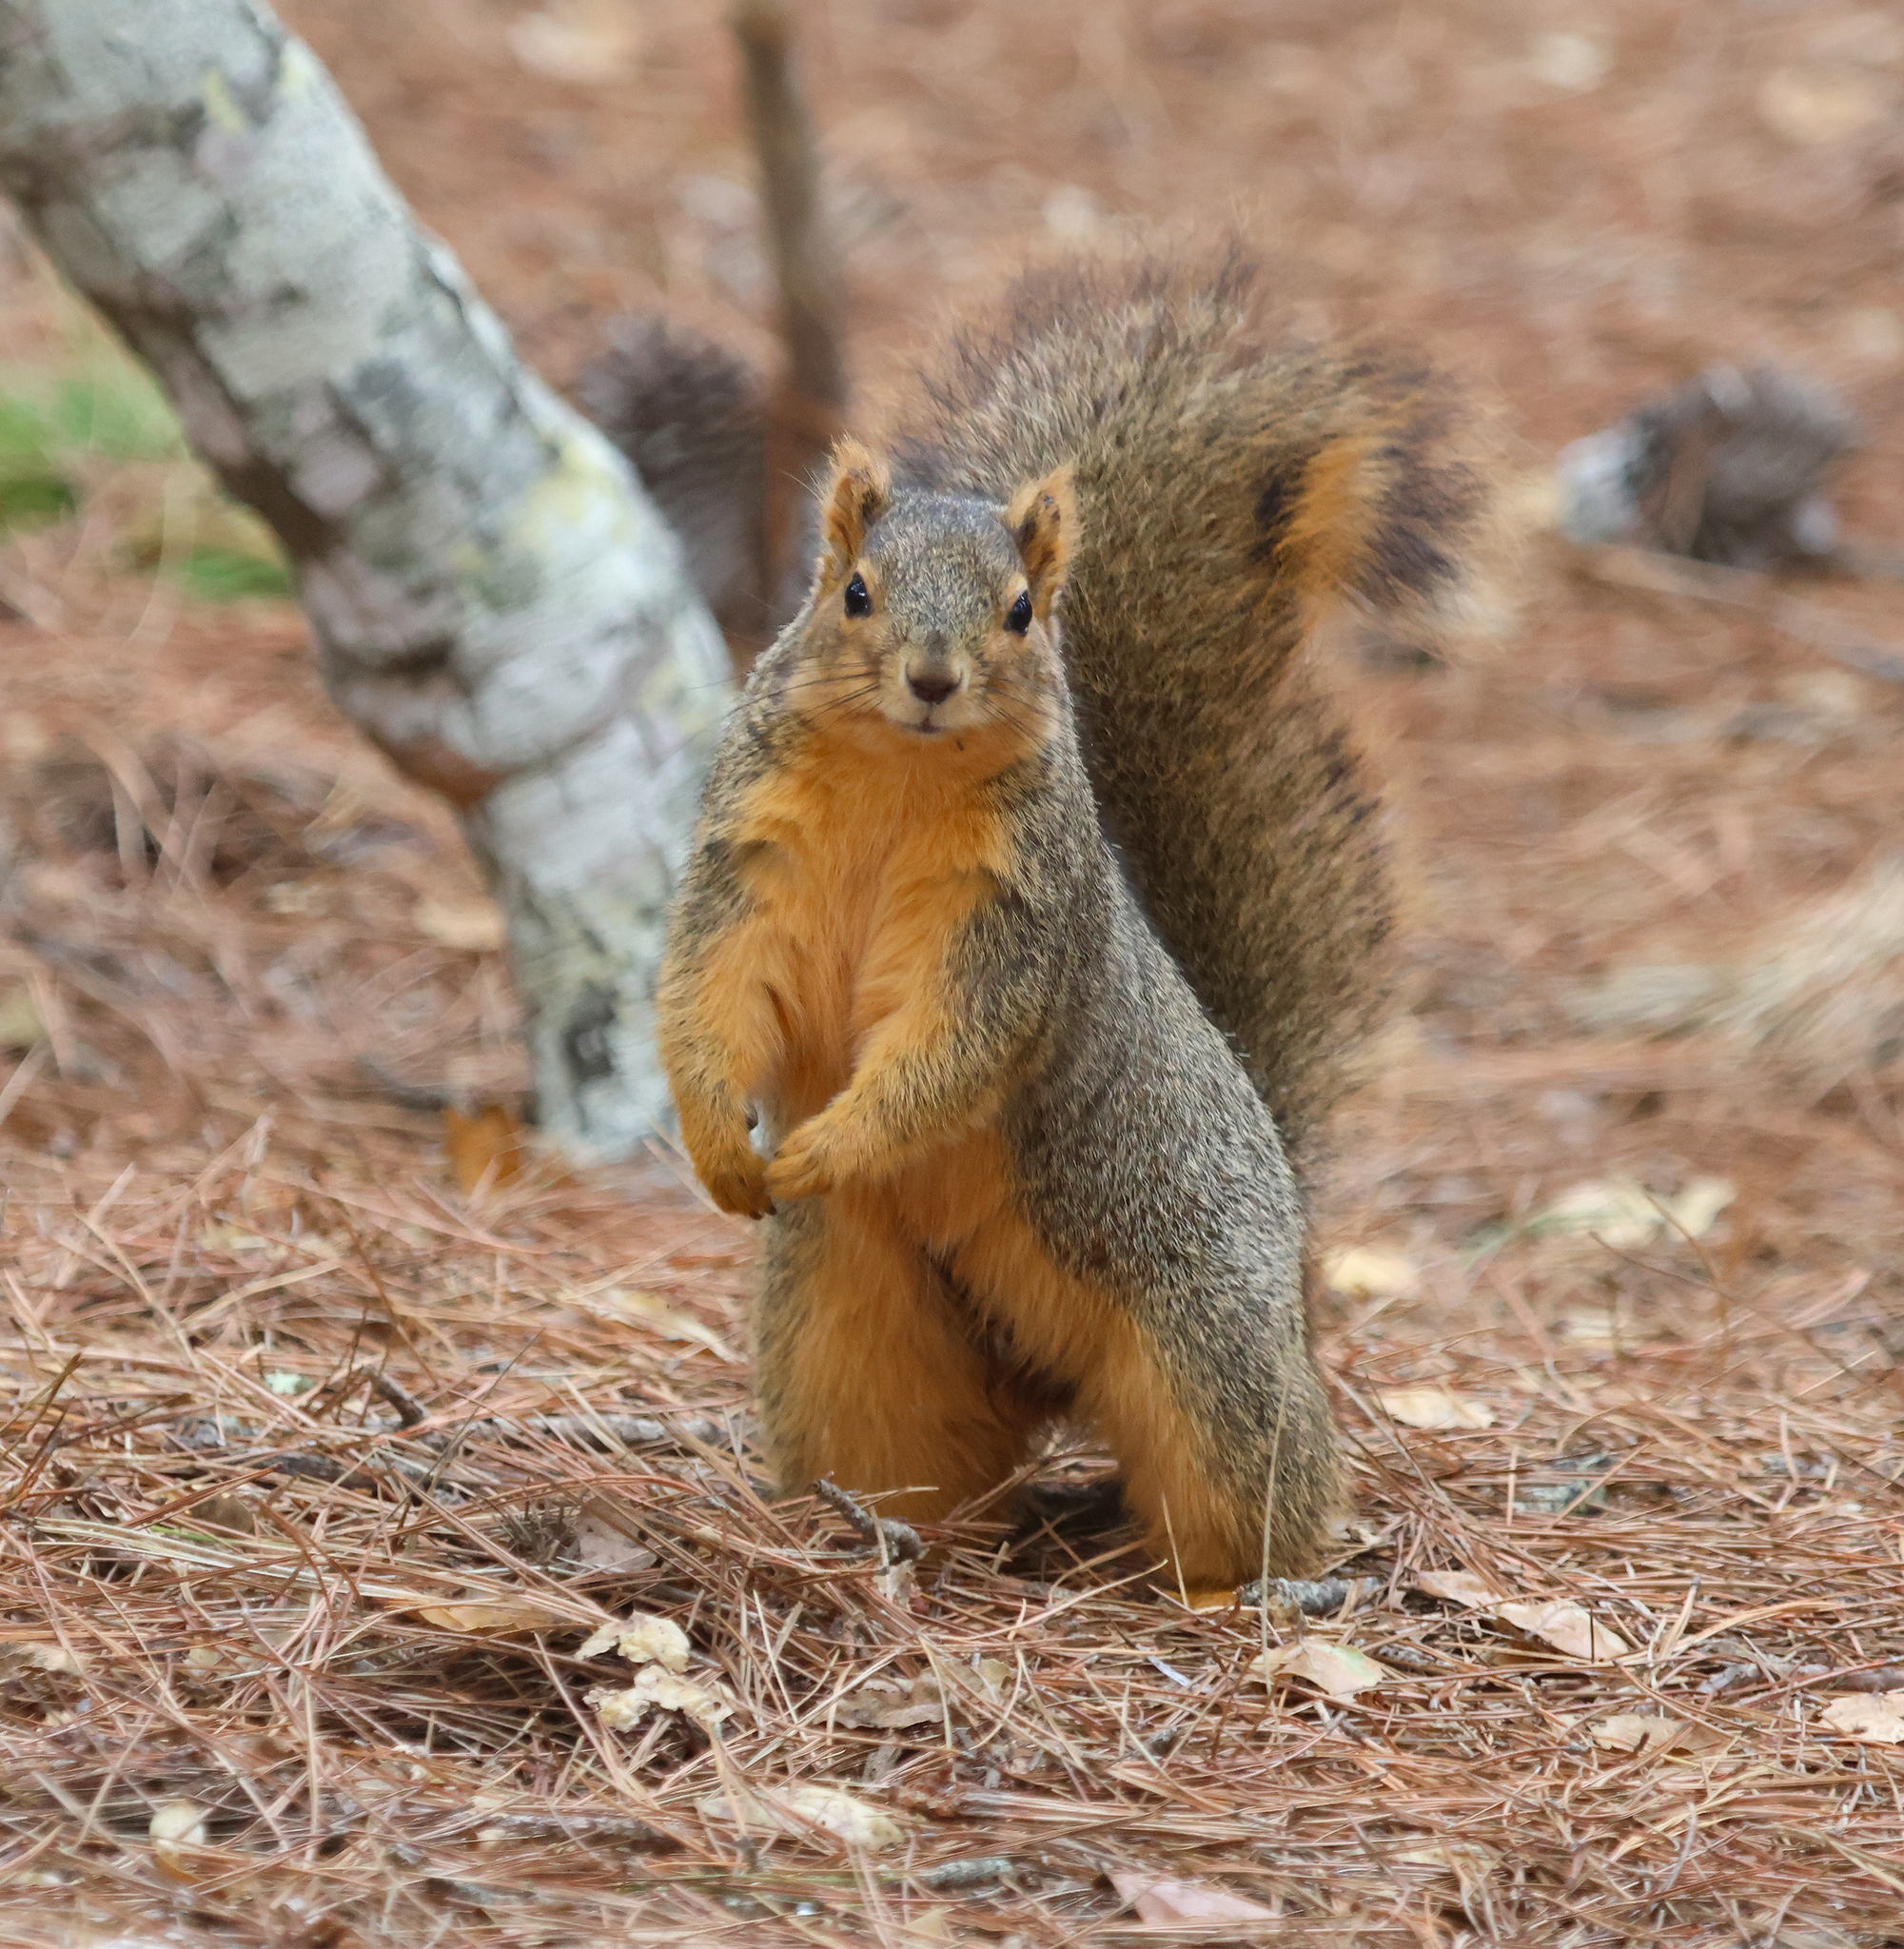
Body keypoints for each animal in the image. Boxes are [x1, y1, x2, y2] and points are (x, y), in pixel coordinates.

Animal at [656, 250, 1492, 1592]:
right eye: (853, 591)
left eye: (1018, 611)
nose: (932, 679)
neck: (898, 779)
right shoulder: (751, 866)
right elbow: (712, 991)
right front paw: (723, 1146)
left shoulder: (1014, 923)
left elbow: (950, 1049)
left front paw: (829, 1147)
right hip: (852, 1328)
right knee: (914, 1450)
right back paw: (884, 1532)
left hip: (1207, 1342)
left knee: (1267, 1481)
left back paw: (1214, 1581)